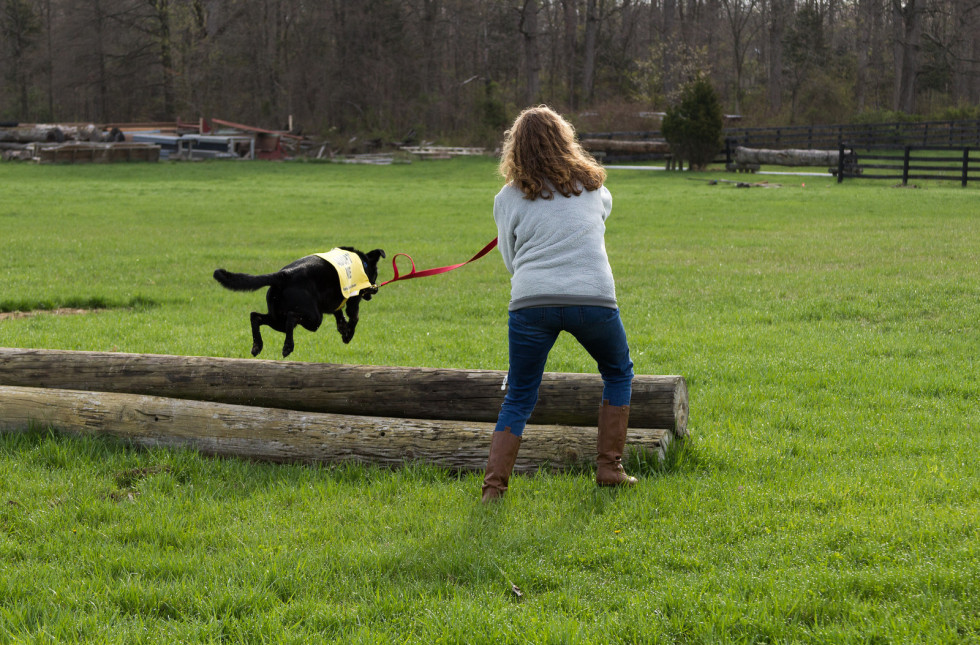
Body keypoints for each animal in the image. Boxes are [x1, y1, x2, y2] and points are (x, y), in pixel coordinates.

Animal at [214, 247, 386, 358]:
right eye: (376, 274)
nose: (375, 290)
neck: (362, 262)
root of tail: (284, 275)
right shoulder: (353, 299)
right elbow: (354, 317)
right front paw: (348, 334)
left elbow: (339, 314)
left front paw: (343, 328)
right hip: (314, 318)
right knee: (291, 317)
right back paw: (287, 347)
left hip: (278, 319)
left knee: (255, 316)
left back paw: (257, 346)